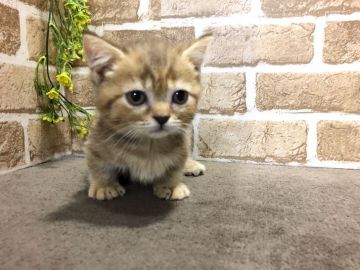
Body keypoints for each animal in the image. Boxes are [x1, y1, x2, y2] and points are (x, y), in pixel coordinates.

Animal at [82, 32, 211, 200]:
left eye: (180, 96)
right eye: (136, 97)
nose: (162, 117)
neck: (148, 146)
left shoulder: (181, 144)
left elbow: (175, 165)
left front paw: (171, 184)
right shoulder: (95, 142)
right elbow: (98, 164)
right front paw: (105, 185)